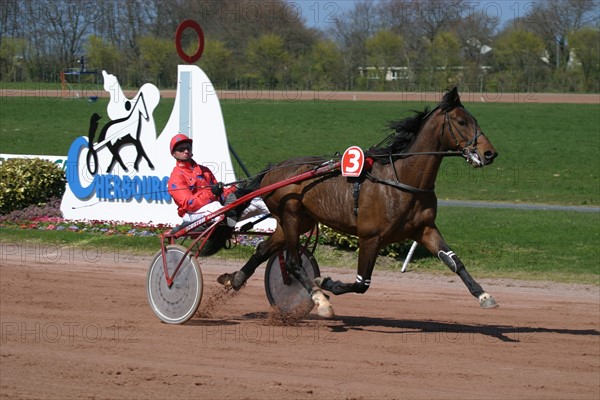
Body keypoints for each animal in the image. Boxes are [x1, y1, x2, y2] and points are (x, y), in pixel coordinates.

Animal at [218, 86, 500, 318]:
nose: (490, 153)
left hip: (299, 220)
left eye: (475, 120)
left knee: (263, 249)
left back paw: (236, 278)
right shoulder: (370, 237)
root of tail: (272, 169)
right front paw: (326, 283)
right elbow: (361, 283)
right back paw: (320, 300)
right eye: (462, 121)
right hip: (290, 215)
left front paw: (484, 295)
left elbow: (454, 261)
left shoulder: (425, 229)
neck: (403, 180)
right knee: (293, 262)